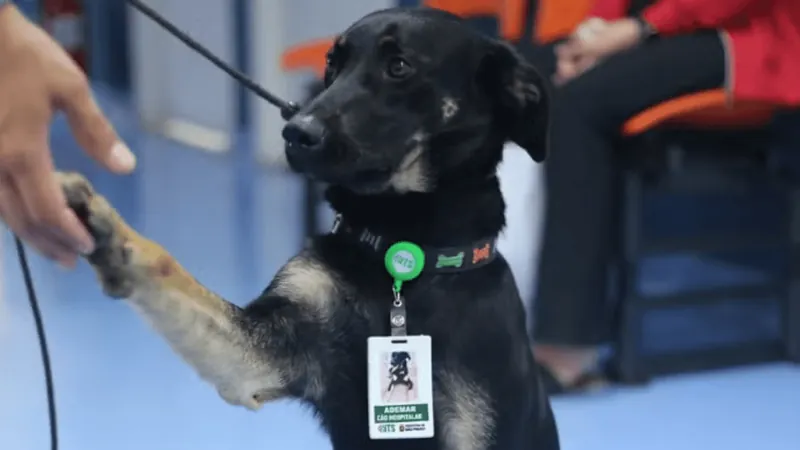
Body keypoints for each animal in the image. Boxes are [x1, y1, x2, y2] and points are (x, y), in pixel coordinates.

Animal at [57, 7, 556, 450]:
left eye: (399, 67)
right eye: (332, 64)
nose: (296, 133)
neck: (403, 256)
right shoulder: (261, 355)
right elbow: (167, 268)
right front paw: (110, 232)